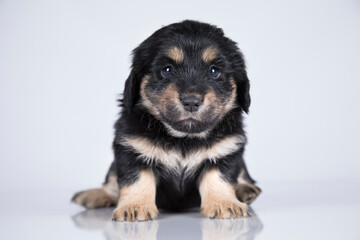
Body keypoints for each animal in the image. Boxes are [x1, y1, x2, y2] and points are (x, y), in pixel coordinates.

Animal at [71, 20, 260, 221]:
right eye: (167, 70)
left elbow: (219, 178)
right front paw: (134, 206)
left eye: (214, 71)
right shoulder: (130, 149)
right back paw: (95, 195)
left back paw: (245, 190)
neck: (183, 138)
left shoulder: (226, 150)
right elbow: (136, 179)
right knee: (111, 180)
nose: (191, 102)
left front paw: (224, 203)